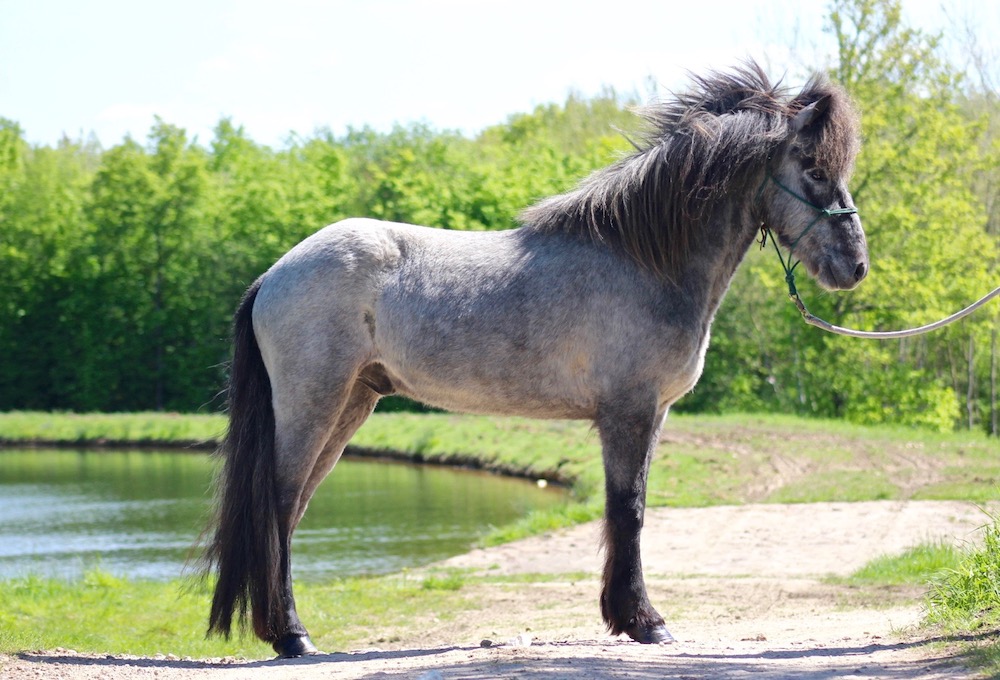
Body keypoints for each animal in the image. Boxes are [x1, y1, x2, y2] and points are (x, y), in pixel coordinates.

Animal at [203, 61, 868, 656]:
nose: (855, 266)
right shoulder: (628, 412)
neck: (642, 259)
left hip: (351, 404)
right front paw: (645, 623)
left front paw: (628, 616)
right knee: (279, 505)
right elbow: (628, 510)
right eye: (813, 169)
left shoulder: (652, 415)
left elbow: (630, 508)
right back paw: (292, 636)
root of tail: (276, 274)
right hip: (313, 405)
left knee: (293, 510)